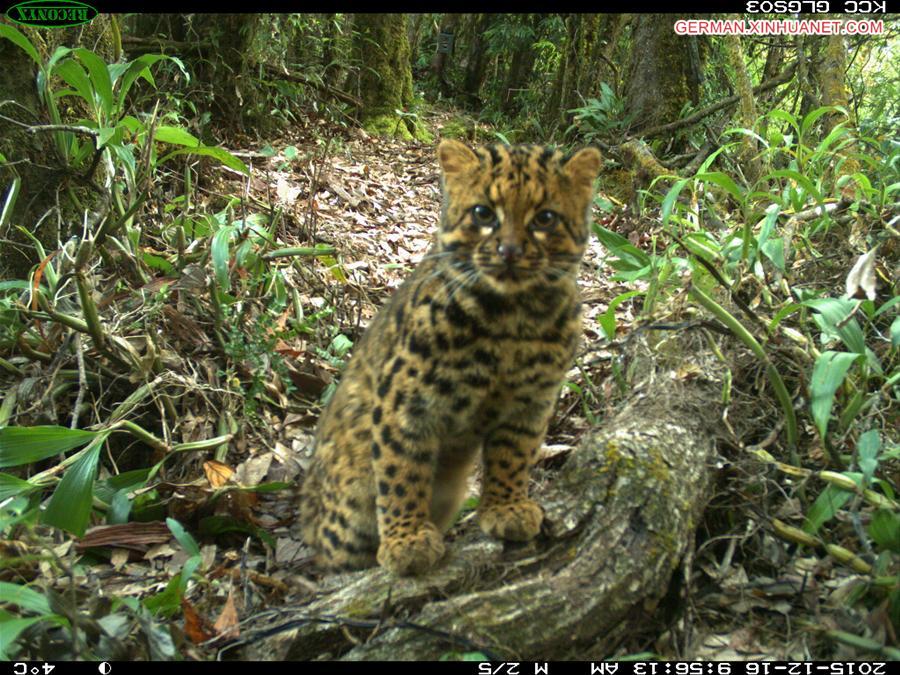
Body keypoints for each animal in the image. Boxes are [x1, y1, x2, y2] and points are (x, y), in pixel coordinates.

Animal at [298, 139, 600, 576]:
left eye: (545, 218)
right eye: (483, 213)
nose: (509, 251)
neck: (511, 321)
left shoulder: (531, 402)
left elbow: (513, 457)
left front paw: (507, 508)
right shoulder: (406, 404)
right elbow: (402, 473)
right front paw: (406, 541)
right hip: (348, 508)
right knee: (333, 552)